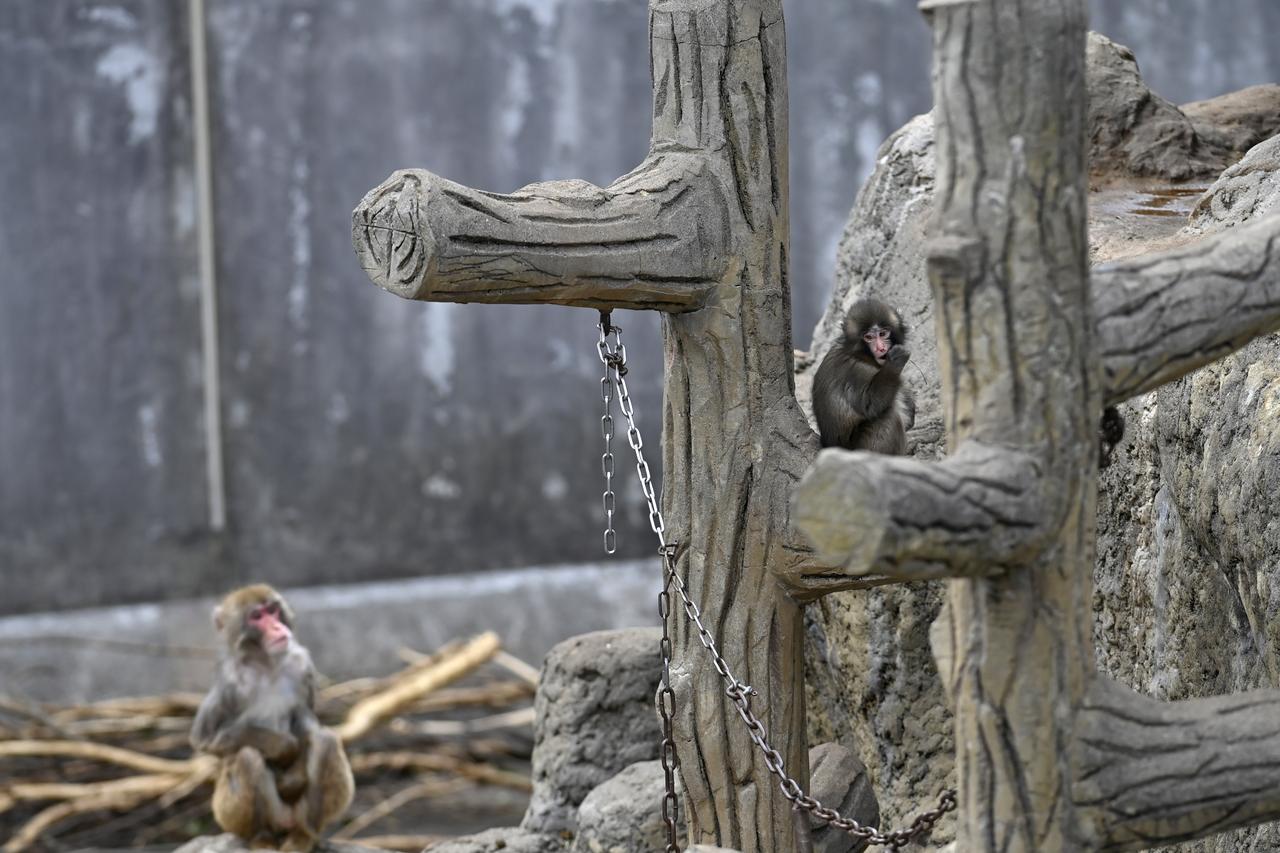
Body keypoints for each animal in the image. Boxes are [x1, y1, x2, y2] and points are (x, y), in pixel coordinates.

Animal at [191, 585, 353, 851]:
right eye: (257, 616)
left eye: (273, 610)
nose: (277, 627)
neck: (267, 665)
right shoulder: (229, 683)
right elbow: (207, 740)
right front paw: (284, 748)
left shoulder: (302, 665)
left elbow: (305, 717)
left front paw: (295, 776)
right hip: (227, 812)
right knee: (247, 756)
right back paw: (261, 838)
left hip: (298, 812)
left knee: (326, 741)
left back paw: (303, 835)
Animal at [812, 298, 915, 455]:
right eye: (868, 337)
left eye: (883, 334)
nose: (881, 348)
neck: (860, 354)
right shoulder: (854, 371)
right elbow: (870, 402)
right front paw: (895, 362)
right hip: (861, 449)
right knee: (888, 417)